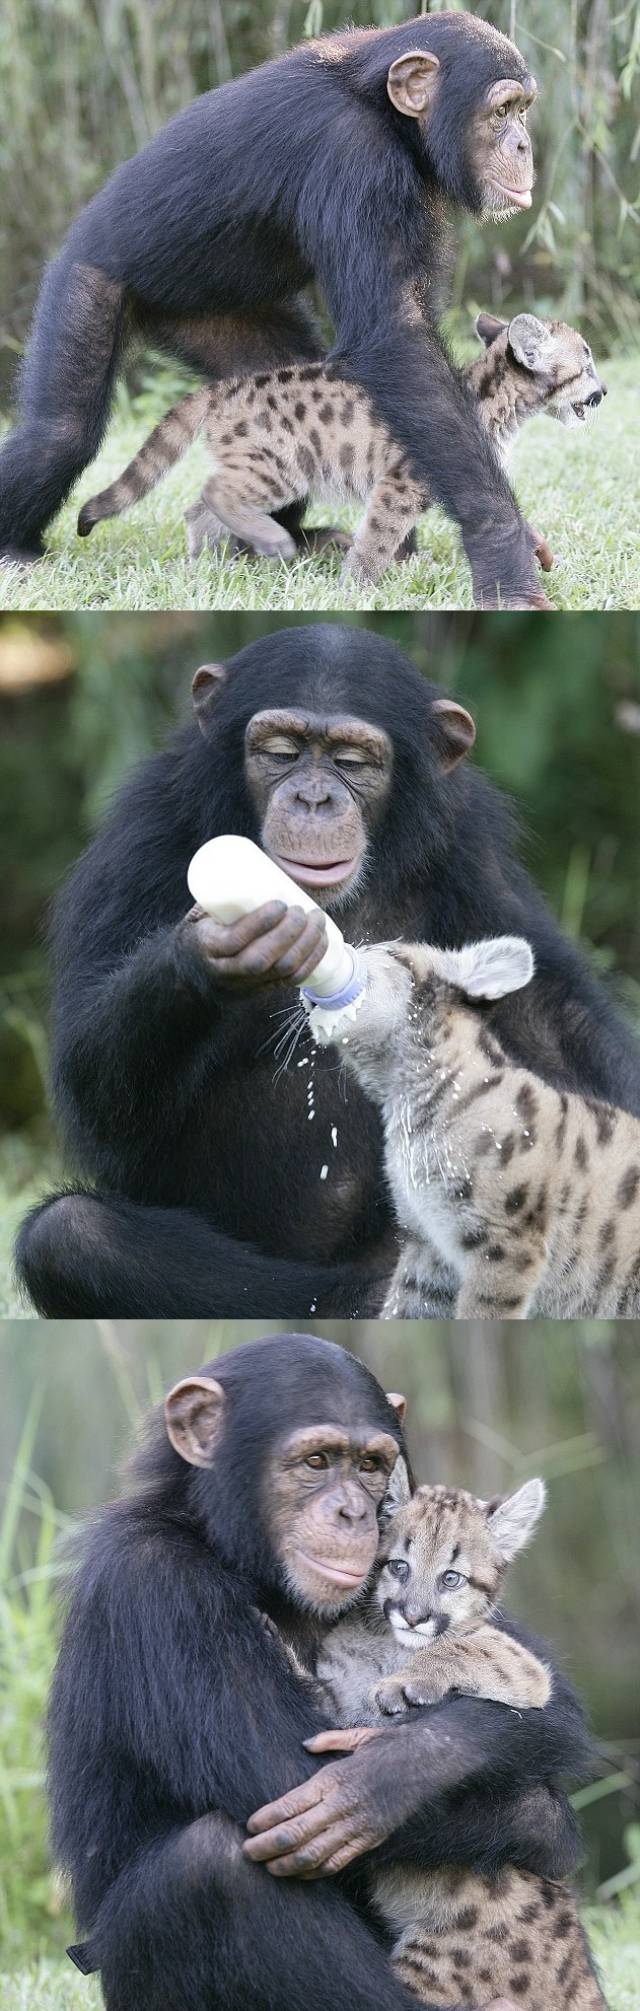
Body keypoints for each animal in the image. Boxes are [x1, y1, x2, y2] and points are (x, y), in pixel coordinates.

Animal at [0, 11, 551, 603]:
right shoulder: (352, 156)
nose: (524, 144)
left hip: (226, 323)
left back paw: (282, 539)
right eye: (501, 111)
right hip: (85, 281)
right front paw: (503, 550)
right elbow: (396, 338)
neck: (384, 111)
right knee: (58, 435)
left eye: (523, 109)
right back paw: (18, 546)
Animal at [17, 623, 640, 1319]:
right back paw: (365, 1298)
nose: (313, 797)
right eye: (282, 752)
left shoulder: (470, 845)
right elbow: (96, 1089)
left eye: (351, 761)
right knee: (70, 1235)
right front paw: (208, 949)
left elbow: (552, 1021)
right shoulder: (138, 837)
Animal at [51, 1335, 595, 2010]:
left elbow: (482, 1656)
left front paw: (400, 1724)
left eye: (451, 1578)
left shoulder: (521, 1668)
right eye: (397, 1567)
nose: (413, 1613)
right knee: (209, 1859)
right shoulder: (151, 1576)